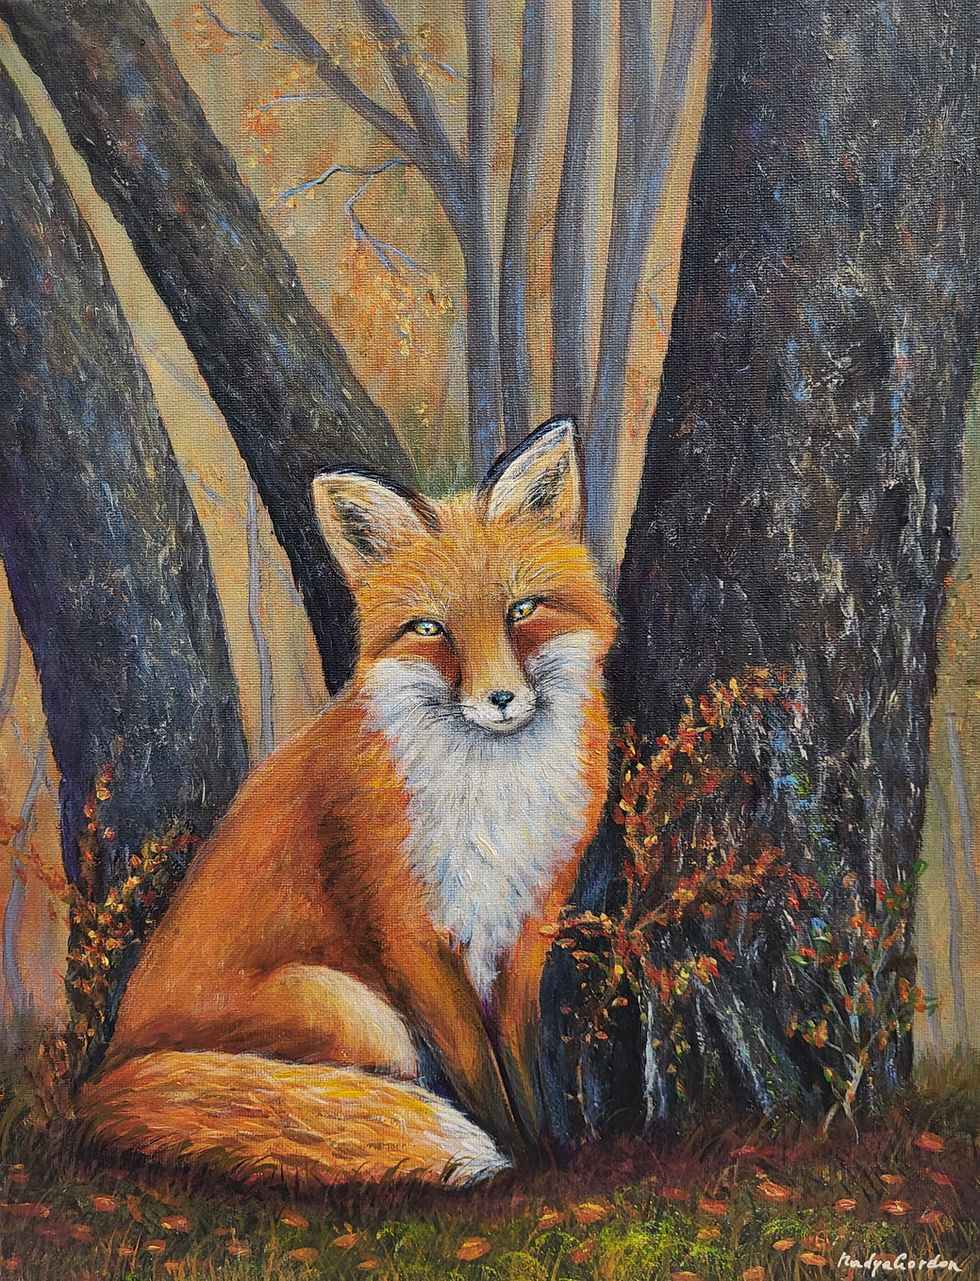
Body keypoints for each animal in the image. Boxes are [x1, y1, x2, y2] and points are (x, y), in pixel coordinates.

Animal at [78, 419, 616, 1190]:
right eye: (430, 629)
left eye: (521, 610)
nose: (501, 699)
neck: (490, 796)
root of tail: (103, 1078)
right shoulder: (411, 934)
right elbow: (479, 1073)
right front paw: (515, 1157)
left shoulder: (524, 928)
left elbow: (519, 1061)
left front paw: (544, 1147)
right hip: (362, 1014)